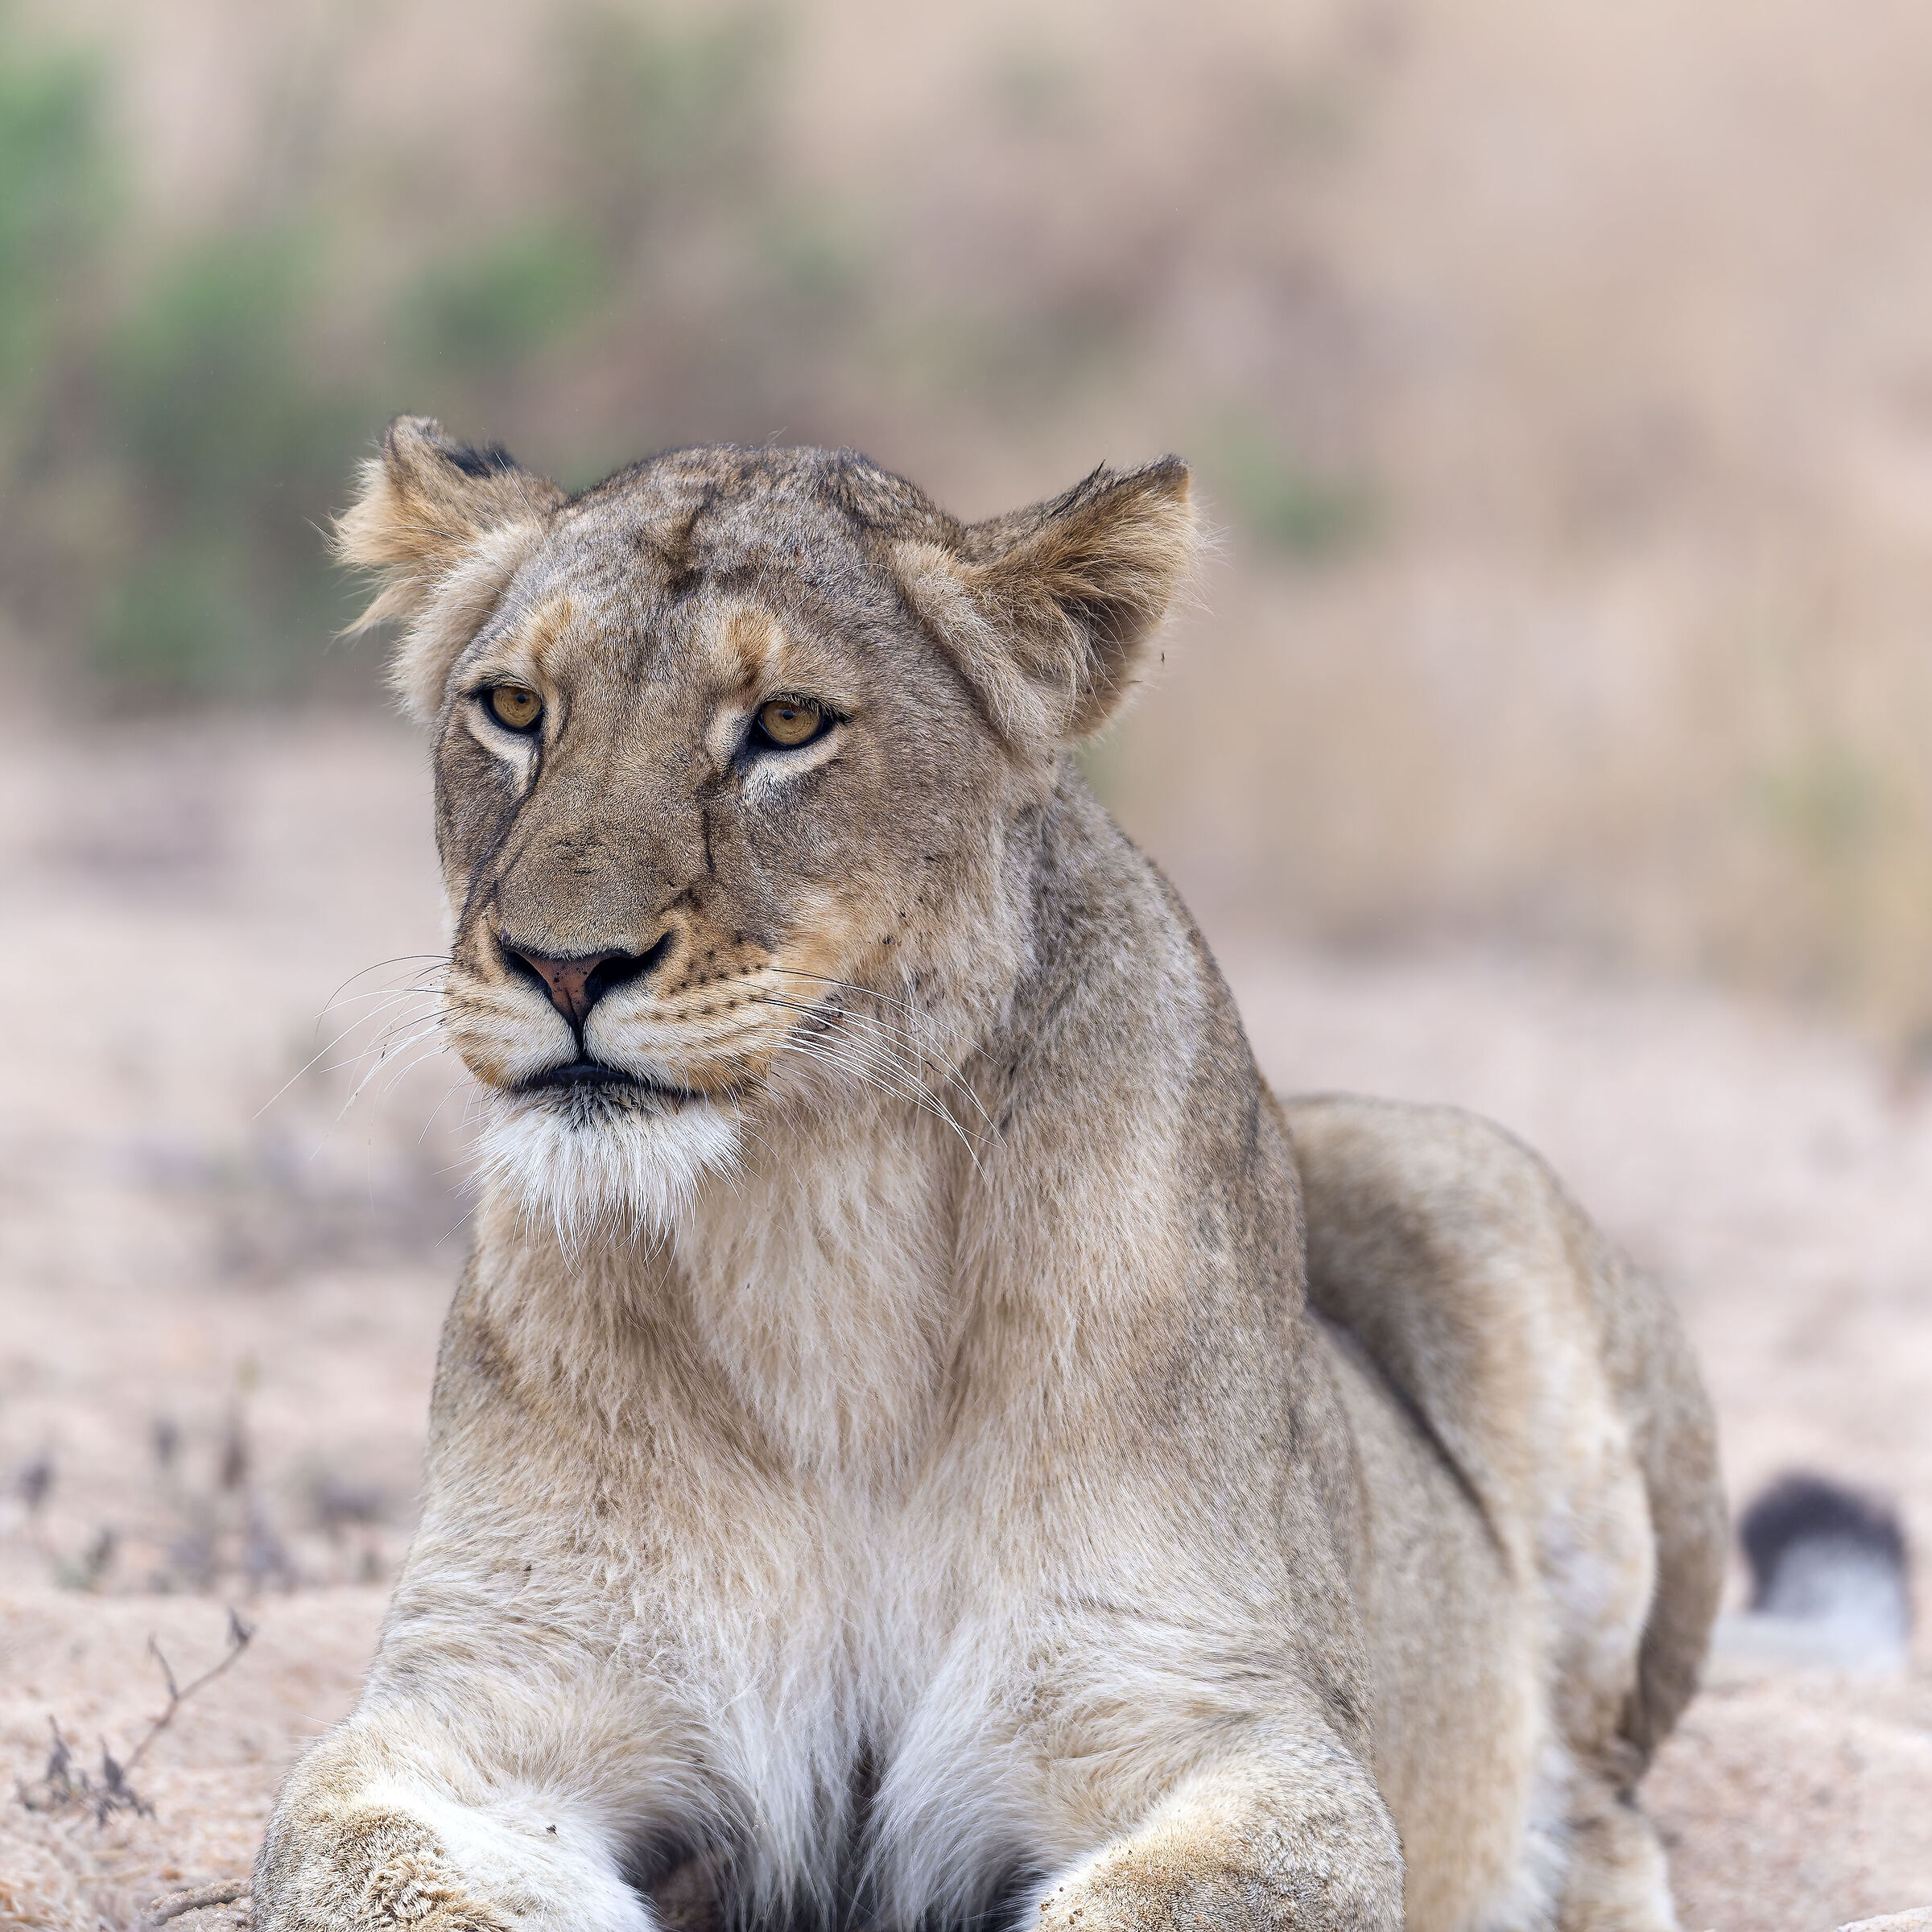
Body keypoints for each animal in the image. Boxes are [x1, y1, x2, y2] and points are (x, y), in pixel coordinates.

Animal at [253, 419, 1725, 1932]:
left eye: (788, 725)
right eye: (513, 708)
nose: (563, 966)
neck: (809, 1207)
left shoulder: (1217, 1717)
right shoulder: (491, 1696)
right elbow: (367, 1859)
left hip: (1467, 1194)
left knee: (1608, 1803)